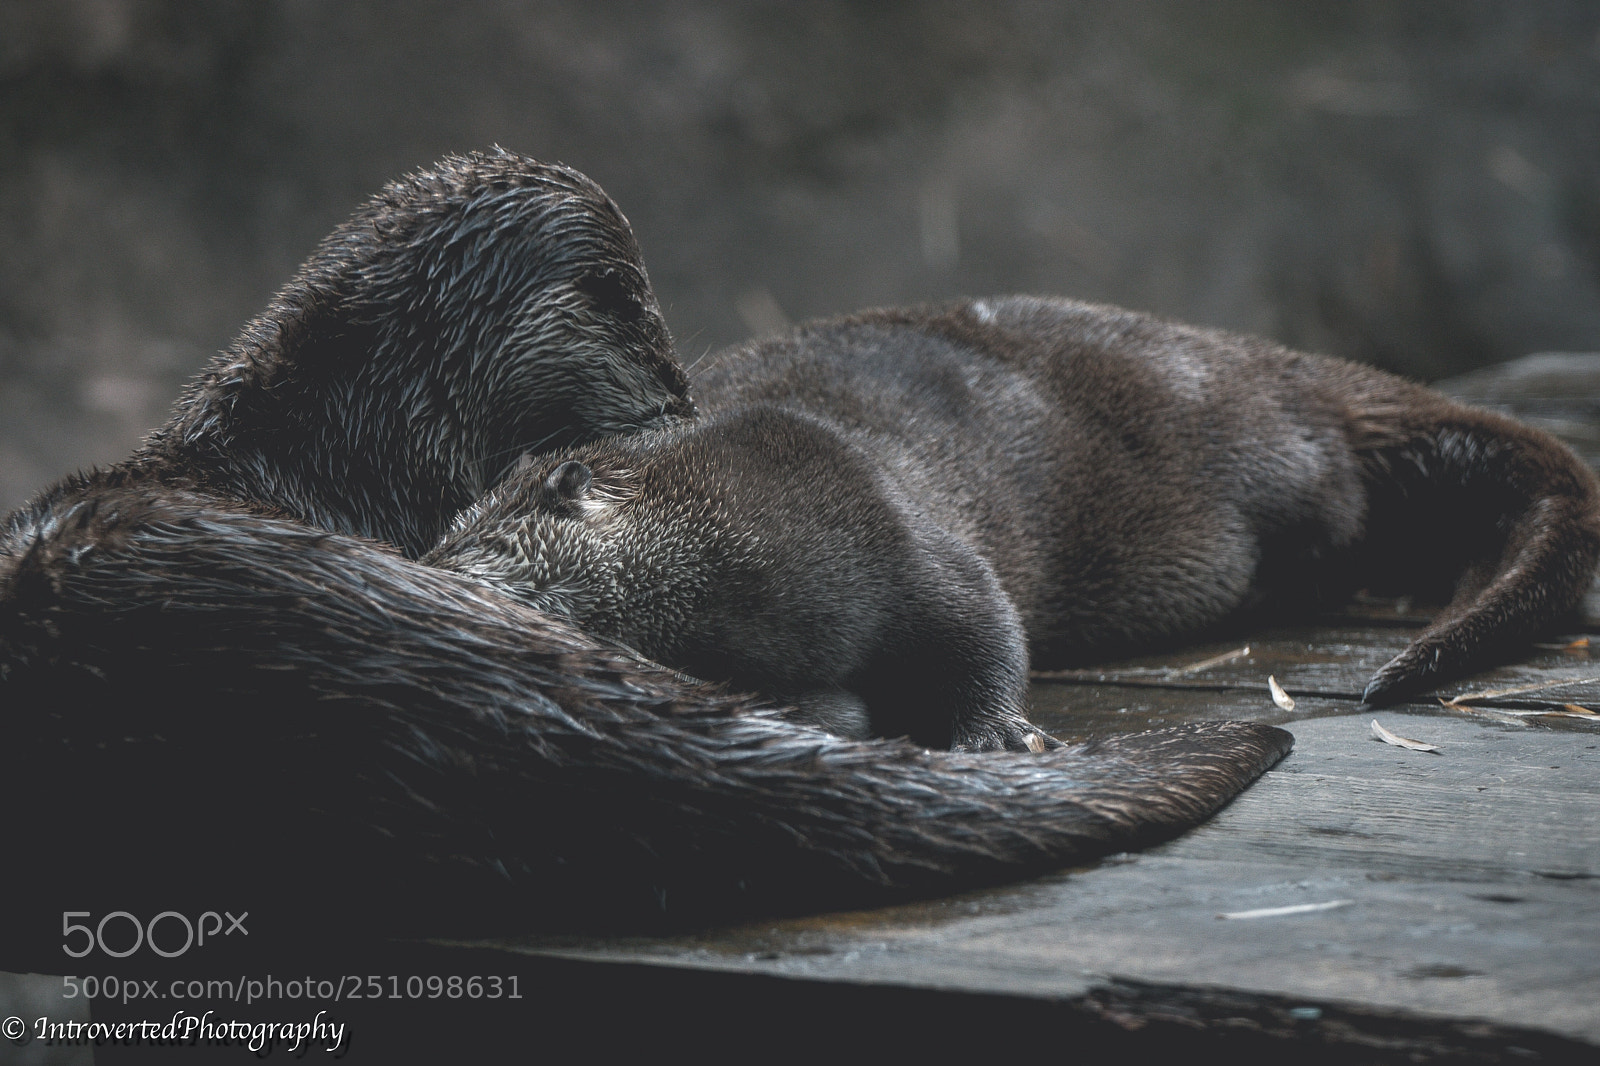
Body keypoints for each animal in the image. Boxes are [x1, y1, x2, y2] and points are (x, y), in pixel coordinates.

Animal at [430, 296, 1600, 747]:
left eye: (455, 551)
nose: (434, 576)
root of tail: (1291, 370)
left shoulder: (890, 524)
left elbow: (984, 623)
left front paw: (996, 732)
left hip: (1272, 452)